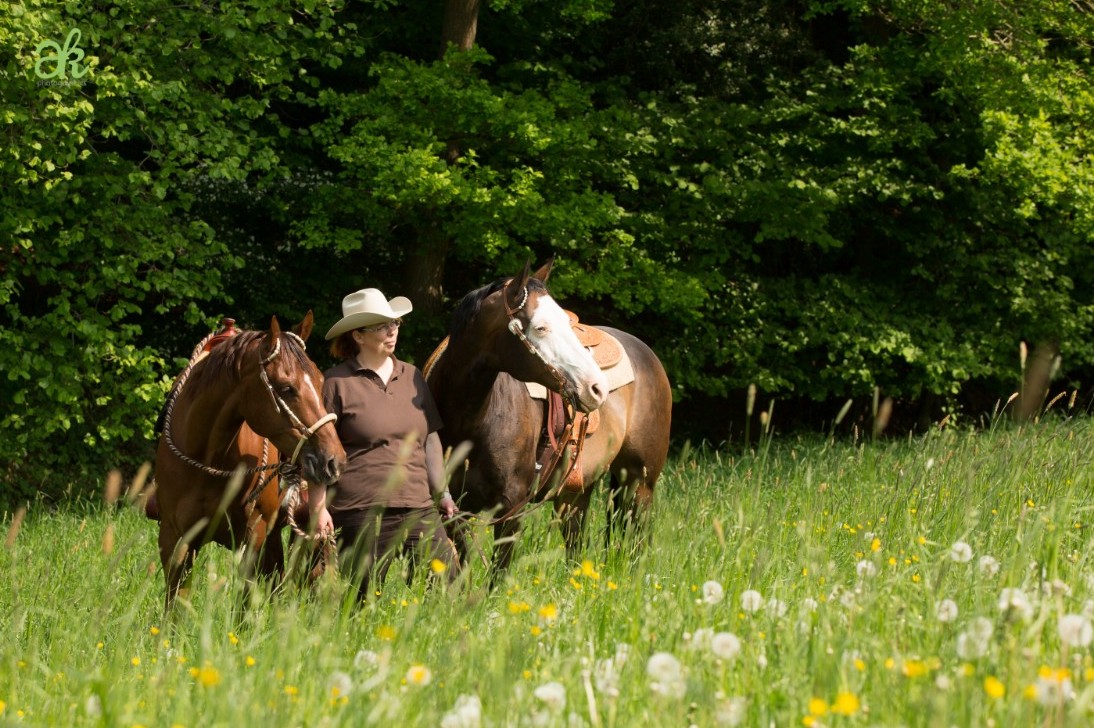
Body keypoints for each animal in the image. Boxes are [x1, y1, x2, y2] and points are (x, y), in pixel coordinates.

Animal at [152, 313, 343, 608]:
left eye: (320, 380)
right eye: (286, 388)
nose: (333, 460)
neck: (209, 457)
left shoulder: (254, 536)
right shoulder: (175, 539)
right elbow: (175, 604)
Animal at [428, 261, 673, 573]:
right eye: (541, 327)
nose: (597, 388)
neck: (470, 422)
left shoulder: (512, 507)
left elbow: (498, 573)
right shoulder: (452, 508)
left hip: (639, 484)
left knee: (637, 541)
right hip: (578, 493)